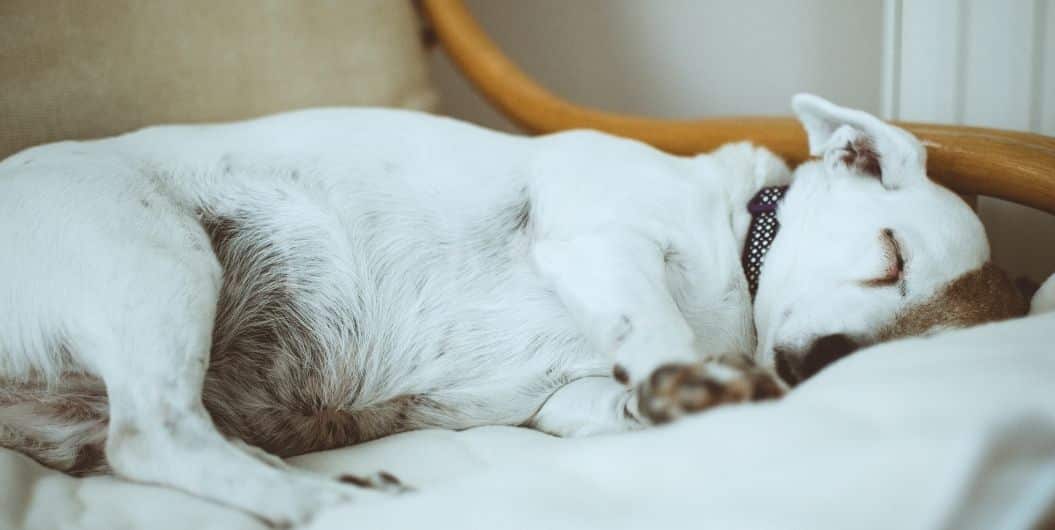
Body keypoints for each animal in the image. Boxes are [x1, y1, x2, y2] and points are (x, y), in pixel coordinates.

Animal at [0, 93, 1025, 521]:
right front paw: (689, 375)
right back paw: (316, 501)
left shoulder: (562, 402)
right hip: (155, 258)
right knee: (155, 436)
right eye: (888, 259)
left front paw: (679, 396)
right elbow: (655, 326)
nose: (815, 366)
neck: (736, 251)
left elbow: (618, 394)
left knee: (156, 442)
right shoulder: (599, 244)